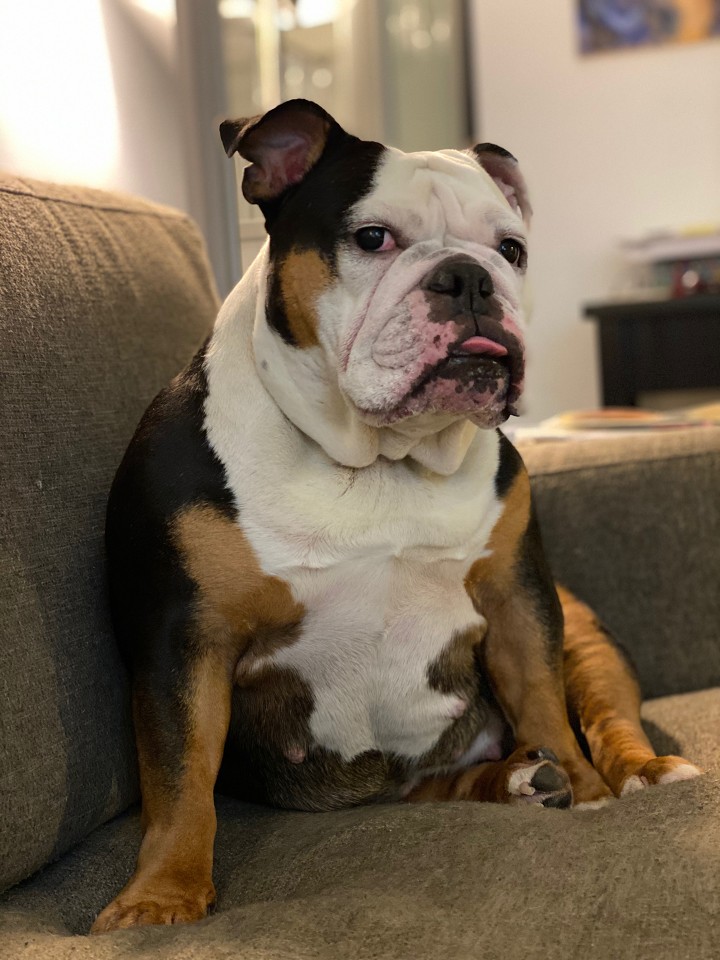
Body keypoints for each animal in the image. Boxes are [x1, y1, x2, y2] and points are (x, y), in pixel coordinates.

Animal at [92, 99, 701, 933]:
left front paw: (587, 792)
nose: (469, 277)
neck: (379, 458)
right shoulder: (185, 638)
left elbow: (541, 699)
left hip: (584, 636)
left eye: (511, 249)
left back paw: (620, 773)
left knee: (604, 715)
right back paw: (519, 782)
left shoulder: (518, 598)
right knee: (433, 784)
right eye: (372, 237)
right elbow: (180, 775)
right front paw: (161, 897)